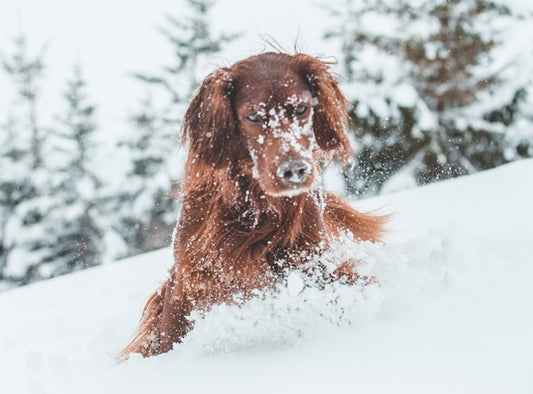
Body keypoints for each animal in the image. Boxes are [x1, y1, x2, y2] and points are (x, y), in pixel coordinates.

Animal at [122, 51, 384, 358]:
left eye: (301, 109)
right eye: (253, 117)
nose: (295, 170)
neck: (255, 205)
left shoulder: (312, 260)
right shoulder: (189, 276)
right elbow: (168, 334)